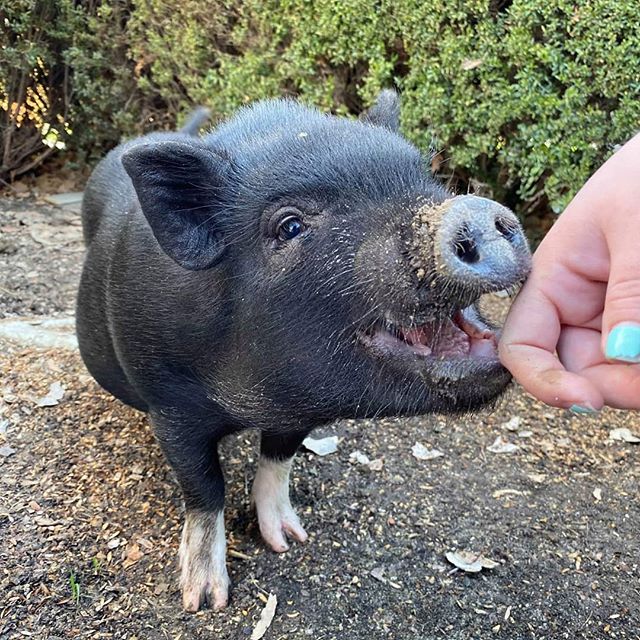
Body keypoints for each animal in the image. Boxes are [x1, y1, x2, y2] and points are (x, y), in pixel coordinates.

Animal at [76, 92, 528, 612]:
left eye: (426, 179)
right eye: (290, 226)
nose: (472, 210)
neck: (252, 403)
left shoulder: (299, 410)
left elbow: (279, 459)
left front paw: (289, 540)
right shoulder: (169, 403)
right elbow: (204, 485)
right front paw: (205, 600)